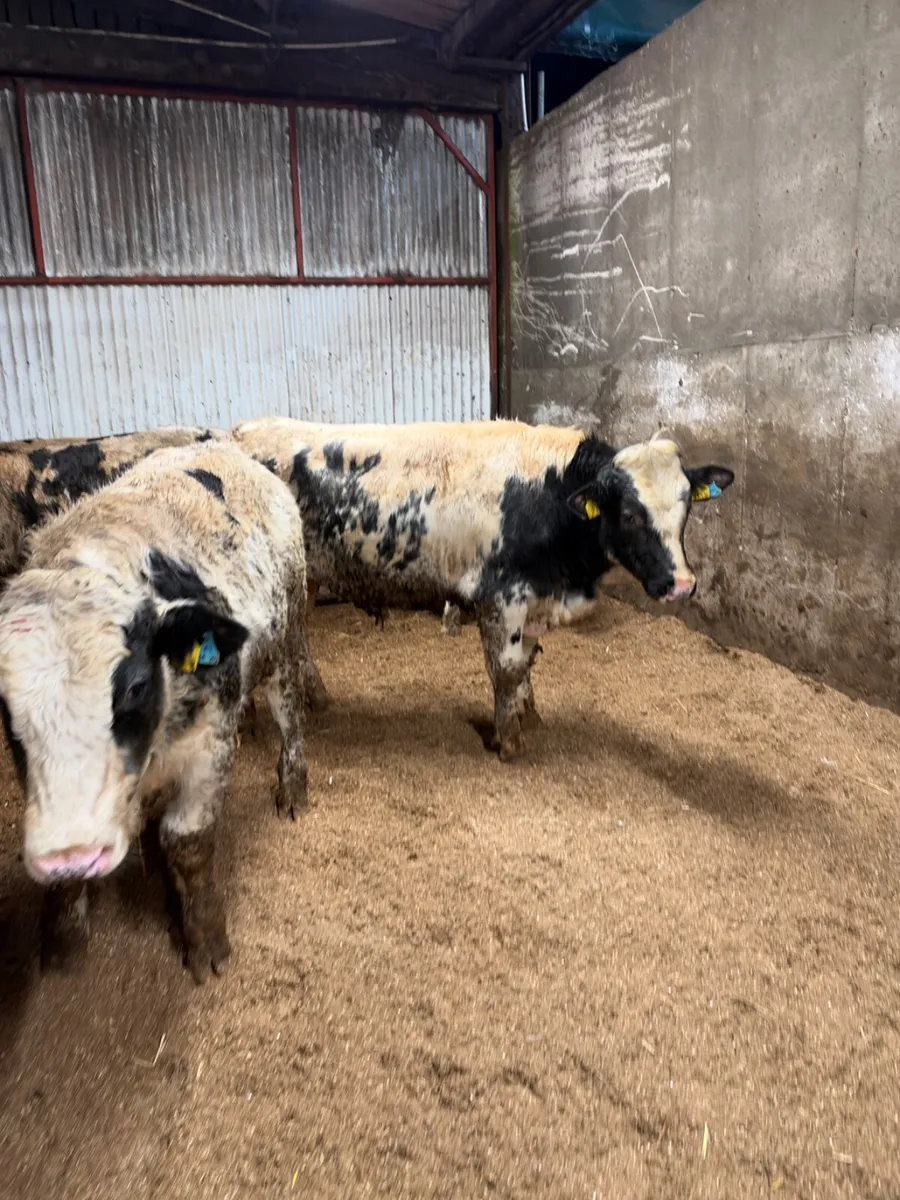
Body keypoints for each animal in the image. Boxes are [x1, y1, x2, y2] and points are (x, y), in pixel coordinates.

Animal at [0, 441, 314, 982]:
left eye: (135, 686)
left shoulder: (211, 744)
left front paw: (205, 940)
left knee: (289, 711)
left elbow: (187, 842)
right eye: (5, 706)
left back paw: (292, 785)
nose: (71, 856)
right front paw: (63, 938)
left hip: (284, 641)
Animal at [231, 418, 735, 760]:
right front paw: (508, 741)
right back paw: (250, 720)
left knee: (296, 638)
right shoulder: (503, 596)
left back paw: (317, 698)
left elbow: (528, 663)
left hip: (306, 579)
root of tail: (238, 433)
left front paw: (529, 716)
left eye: (687, 504)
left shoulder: (535, 597)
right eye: (630, 514)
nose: (681, 584)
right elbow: (507, 669)